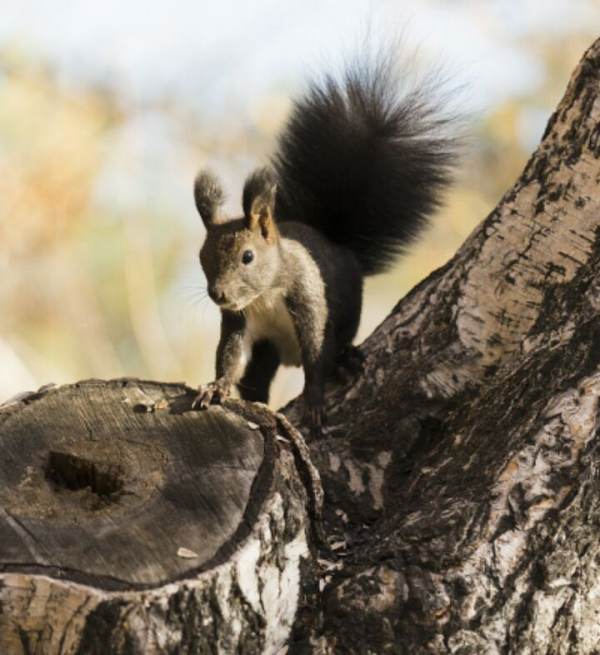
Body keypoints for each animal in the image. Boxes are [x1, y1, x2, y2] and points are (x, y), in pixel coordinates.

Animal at [192, 50, 454, 430]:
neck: (265, 296)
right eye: (202, 258)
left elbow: (317, 351)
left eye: (247, 256)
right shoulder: (240, 321)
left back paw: (346, 359)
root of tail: (338, 245)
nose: (219, 294)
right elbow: (231, 356)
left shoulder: (310, 299)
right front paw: (216, 386)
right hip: (268, 351)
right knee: (257, 379)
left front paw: (314, 401)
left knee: (336, 344)